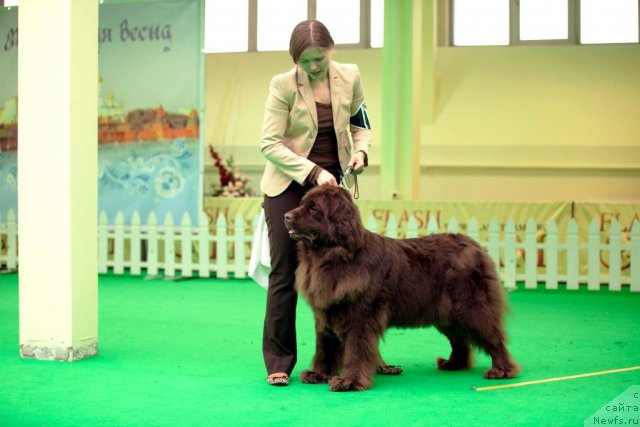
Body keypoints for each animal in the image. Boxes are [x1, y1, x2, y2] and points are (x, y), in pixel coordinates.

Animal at [284, 186, 520, 392]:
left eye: (313, 208)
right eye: (302, 204)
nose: (286, 216)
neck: (331, 257)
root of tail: (475, 245)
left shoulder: (360, 317)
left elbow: (355, 351)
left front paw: (348, 382)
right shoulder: (326, 313)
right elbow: (324, 346)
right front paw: (318, 375)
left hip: (470, 307)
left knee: (493, 337)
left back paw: (501, 371)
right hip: (447, 315)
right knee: (460, 340)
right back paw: (453, 364)